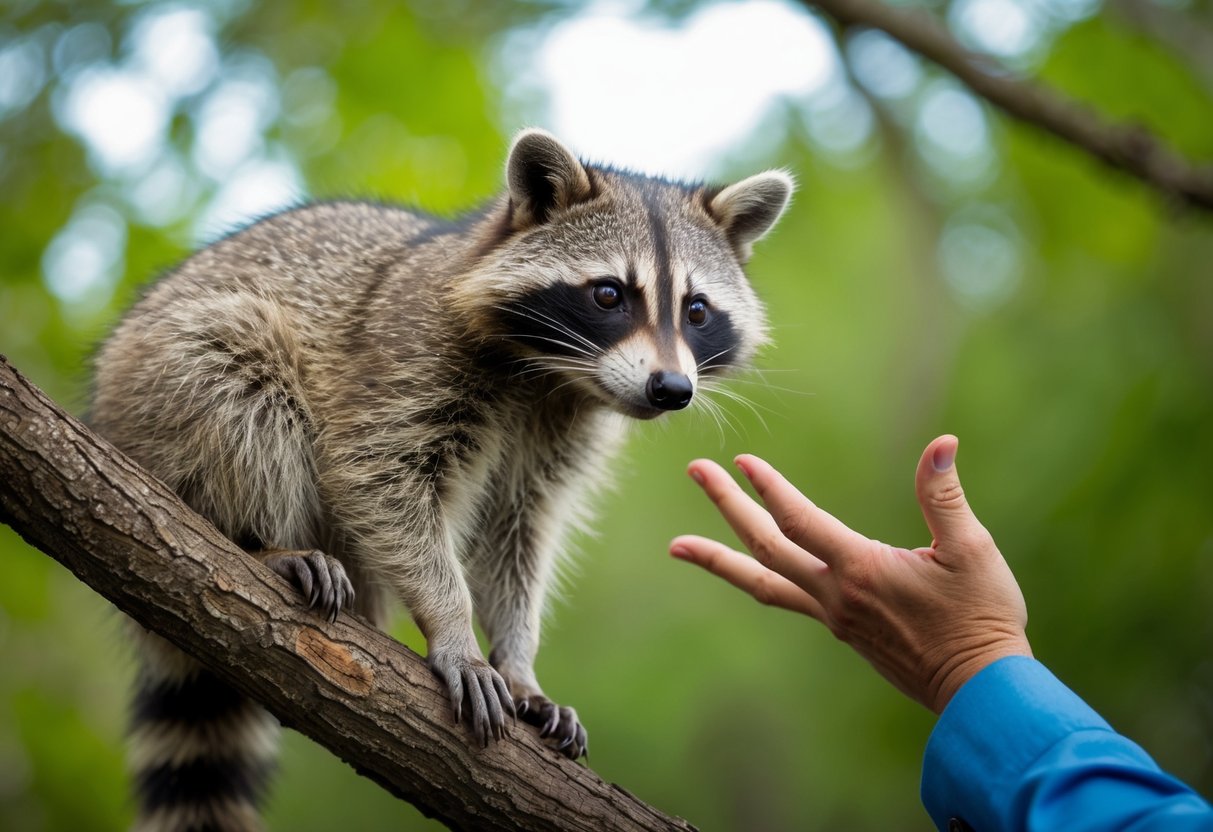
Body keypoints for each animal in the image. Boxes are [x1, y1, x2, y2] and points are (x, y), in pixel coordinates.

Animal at [91, 129, 791, 831]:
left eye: (696, 310)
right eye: (609, 295)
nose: (671, 389)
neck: (552, 374)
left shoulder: (557, 437)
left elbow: (517, 534)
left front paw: (518, 657)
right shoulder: (409, 355)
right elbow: (379, 477)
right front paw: (454, 626)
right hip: (162, 393)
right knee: (238, 372)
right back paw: (259, 540)